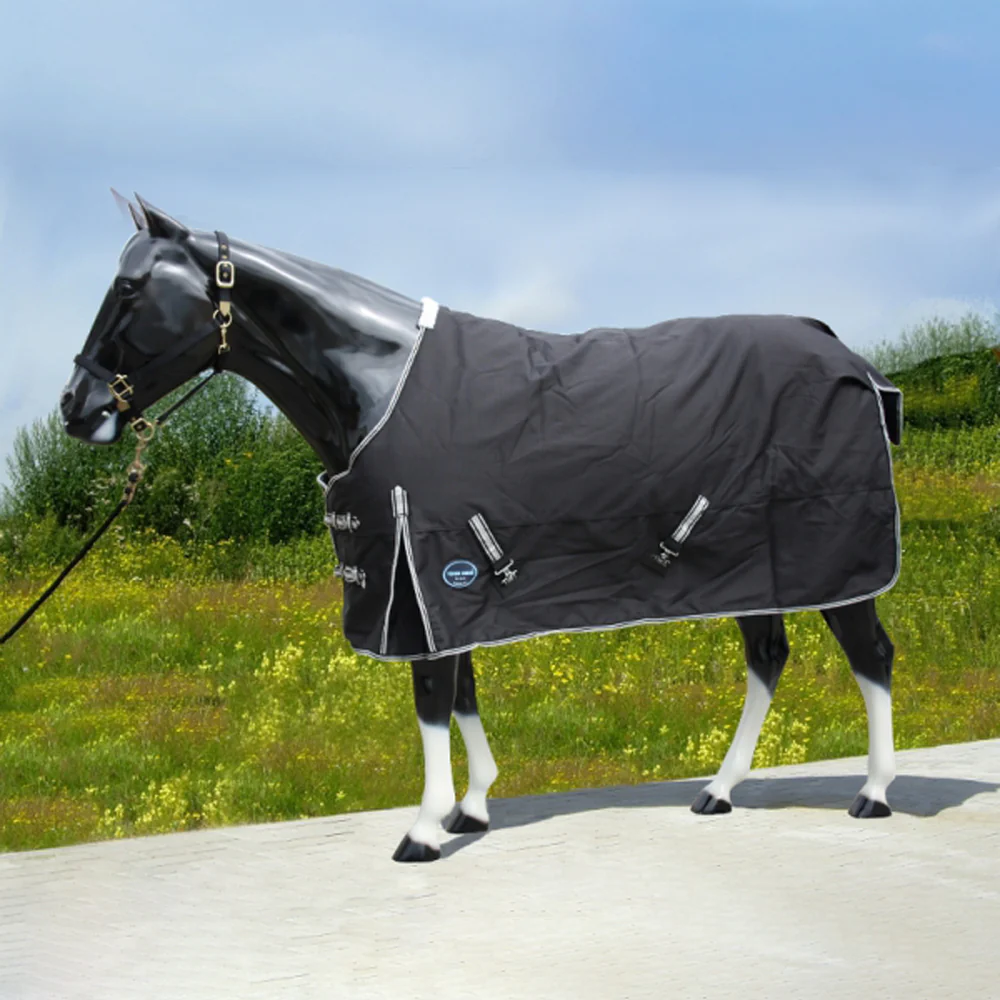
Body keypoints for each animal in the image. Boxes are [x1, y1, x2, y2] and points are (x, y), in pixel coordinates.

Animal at [62, 195, 901, 862]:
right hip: (755, 568)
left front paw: (424, 829)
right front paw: (470, 809)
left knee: (872, 656)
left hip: (836, 564)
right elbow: (462, 691)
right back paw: (720, 789)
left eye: (131, 287)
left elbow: (434, 699)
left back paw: (874, 793)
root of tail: (848, 355)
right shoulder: (434, 586)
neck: (376, 384)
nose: (77, 406)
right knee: (768, 659)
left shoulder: (424, 572)